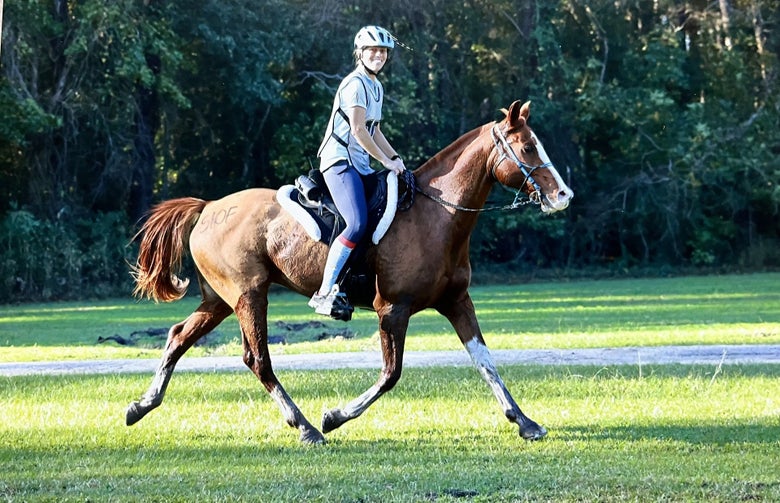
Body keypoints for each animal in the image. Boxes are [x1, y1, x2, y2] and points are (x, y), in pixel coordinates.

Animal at [126, 100, 573, 444]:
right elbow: (391, 374)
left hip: (220, 300)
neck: (437, 214)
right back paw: (306, 427)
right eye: (528, 147)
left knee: (178, 337)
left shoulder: (456, 301)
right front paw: (335, 416)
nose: (563, 195)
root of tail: (208, 207)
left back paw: (141, 405)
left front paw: (525, 422)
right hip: (249, 295)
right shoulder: (392, 309)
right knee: (258, 359)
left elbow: (486, 362)